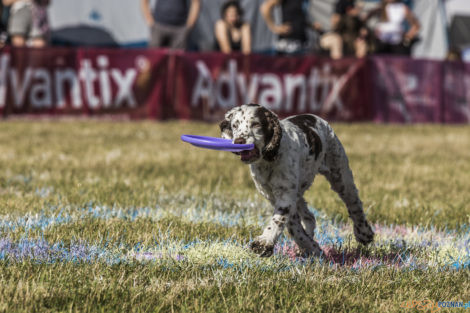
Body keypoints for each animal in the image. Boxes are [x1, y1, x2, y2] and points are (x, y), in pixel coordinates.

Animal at [220, 103, 374, 258]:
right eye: (235, 126)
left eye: (256, 124)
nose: (239, 141)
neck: (268, 161)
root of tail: (315, 117)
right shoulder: (272, 194)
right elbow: (293, 226)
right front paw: (312, 248)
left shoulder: (285, 193)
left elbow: (278, 219)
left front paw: (264, 242)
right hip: (300, 190)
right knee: (309, 216)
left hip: (339, 172)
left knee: (354, 203)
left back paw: (364, 233)